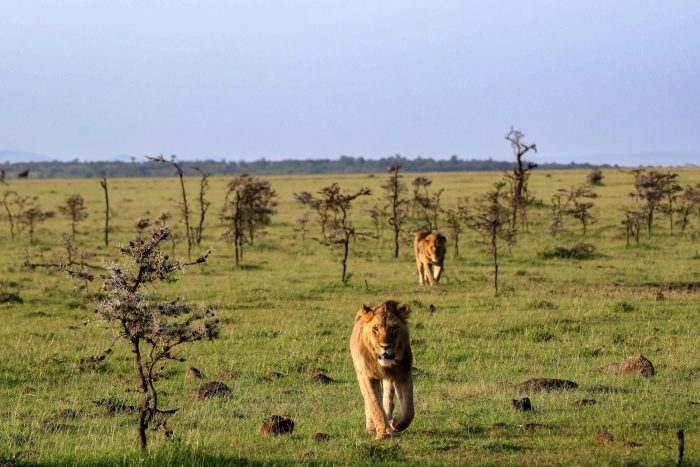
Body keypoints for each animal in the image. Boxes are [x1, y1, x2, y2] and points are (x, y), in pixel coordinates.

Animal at [350, 301, 414, 439]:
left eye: (394, 328)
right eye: (375, 329)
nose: (385, 346)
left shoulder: (404, 374)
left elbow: (408, 410)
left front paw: (395, 424)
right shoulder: (368, 377)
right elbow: (375, 404)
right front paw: (384, 433)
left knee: (388, 399)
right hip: (359, 373)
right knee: (368, 402)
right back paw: (371, 427)